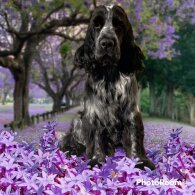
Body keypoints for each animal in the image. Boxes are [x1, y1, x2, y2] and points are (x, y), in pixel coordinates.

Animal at [59, 3, 155, 170]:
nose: (107, 43)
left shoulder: (132, 112)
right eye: (96, 24)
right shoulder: (94, 113)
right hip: (79, 117)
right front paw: (97, 160)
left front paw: (139, 161)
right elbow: (96, 138)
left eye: (118, 25)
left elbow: (135, 136)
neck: (109, 73)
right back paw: (72, 148)